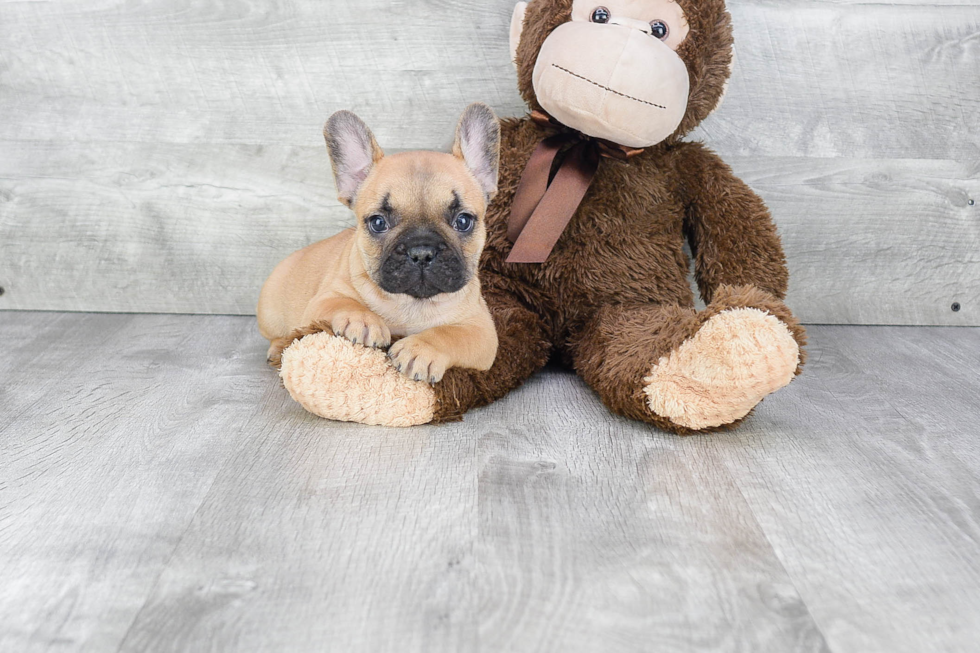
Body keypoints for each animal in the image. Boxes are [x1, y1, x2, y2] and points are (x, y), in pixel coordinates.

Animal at [256, 103, 502, 382]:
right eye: (378, 222)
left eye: (463, 221)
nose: (421, 252)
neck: (411, 302)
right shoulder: (322, 301)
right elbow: (342, 302)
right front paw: (363, 320)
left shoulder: (482, 331)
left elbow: (450, 334)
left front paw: (421, 348)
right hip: (271, 312)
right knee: (280, 335)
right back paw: (277, 349)